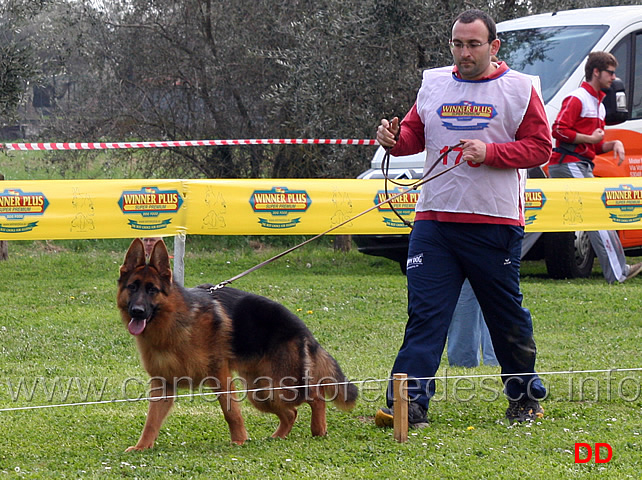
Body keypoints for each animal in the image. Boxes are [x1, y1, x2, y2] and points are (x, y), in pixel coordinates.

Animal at [118, 239, 358, 450]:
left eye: (152, 290)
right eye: (132, 287)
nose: (137, 312)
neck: (175, 322)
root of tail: (301, 327)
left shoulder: (220, 375)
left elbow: (231, 411)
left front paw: (240, 441)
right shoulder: (163, 385)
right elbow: (151, 421)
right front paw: (142, 447)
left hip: (281, 387)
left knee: (316, 396)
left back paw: (318, 430)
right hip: (262, 392)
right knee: (292, 413)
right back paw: (278, 437)